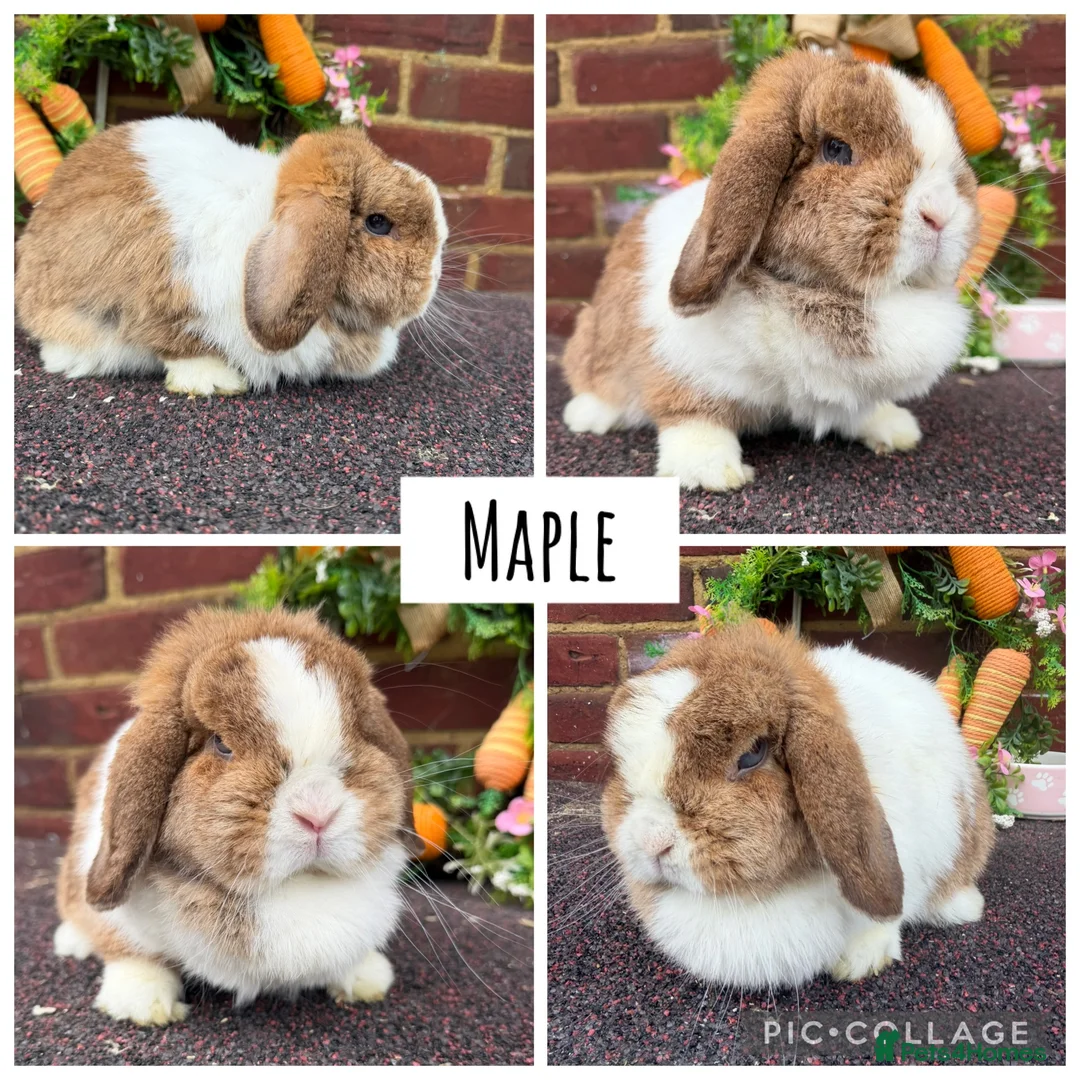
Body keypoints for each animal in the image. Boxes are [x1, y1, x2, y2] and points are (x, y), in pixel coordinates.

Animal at [52, 607, 424, 1026]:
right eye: (221, 744)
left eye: (358, 731)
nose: (318, 813)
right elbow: (132, 951)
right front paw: (141, 1002)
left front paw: (368, 978)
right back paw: (71, 942)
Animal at [561, 51, 979, 490]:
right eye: (836, 149)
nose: (941, 213)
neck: (811, 290)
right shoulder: (680, 365)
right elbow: (692, 414)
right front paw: (710, 471)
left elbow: (859, 409)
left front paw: (895, 427)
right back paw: (588, 414)